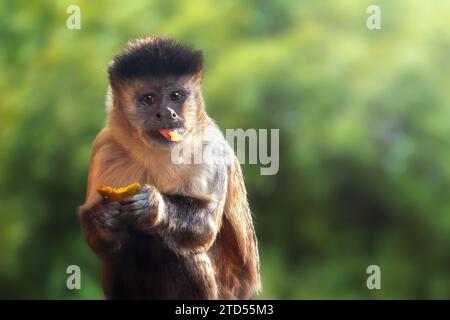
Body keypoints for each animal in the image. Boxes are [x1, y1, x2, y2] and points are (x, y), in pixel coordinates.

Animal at [78, 38, 258, 300]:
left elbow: (204, 227)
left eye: (175, 96)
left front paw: (154, 205)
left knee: (177, 251)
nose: (166, 113)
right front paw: (102, 216)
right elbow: (97, 233)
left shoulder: (210, 148)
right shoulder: (104, 148)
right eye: (149, 99)